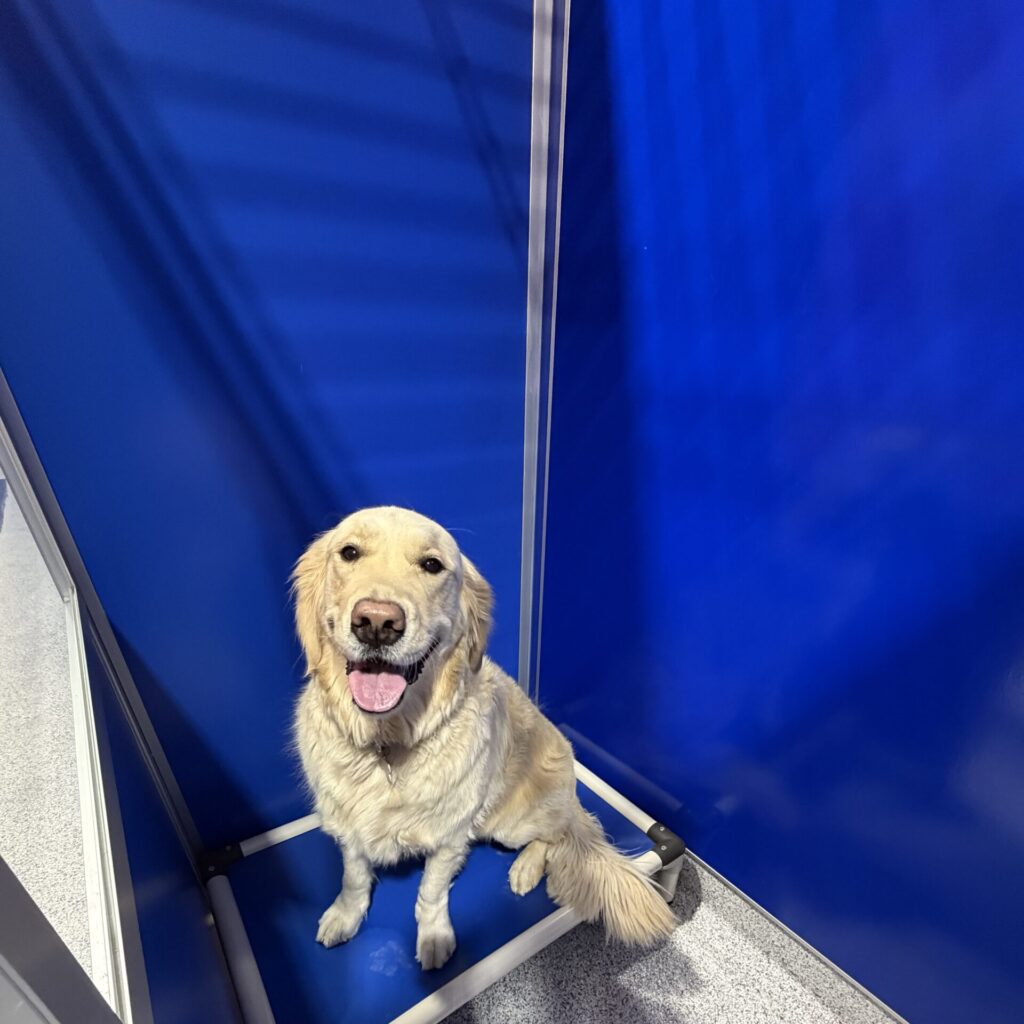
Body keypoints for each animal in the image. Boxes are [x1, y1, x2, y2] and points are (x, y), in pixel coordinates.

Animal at [292, 506, 675, 970]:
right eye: (348, 552)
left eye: (432, 565)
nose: (377, 622)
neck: (388, 745)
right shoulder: (348, 824)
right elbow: (354, 876)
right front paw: (345, 915)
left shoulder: (450, 835)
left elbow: (431, 890)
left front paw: (434, 937)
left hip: (512, 822)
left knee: (555, 835)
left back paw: (526, 869)